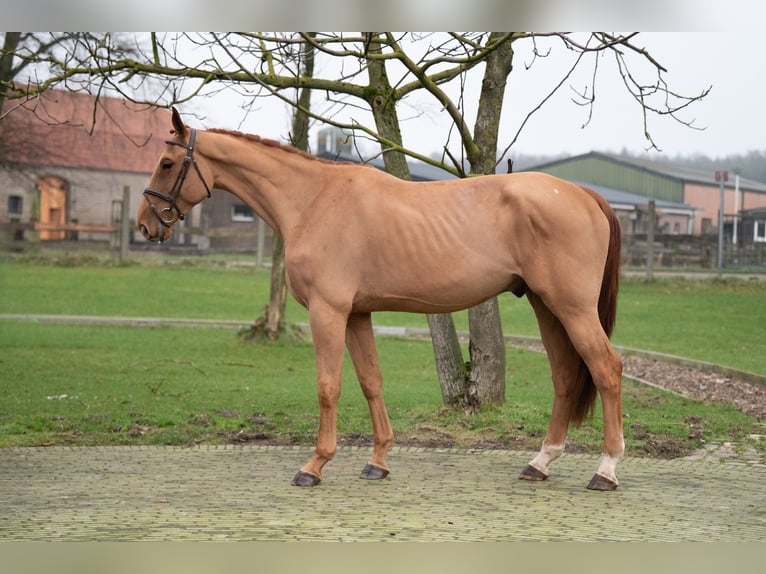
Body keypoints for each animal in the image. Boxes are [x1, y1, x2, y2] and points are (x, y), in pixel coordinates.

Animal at [141, 110, 628, 492]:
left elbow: (328, 386)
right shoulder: (357, 314)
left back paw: (605, 470)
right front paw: (377, 462)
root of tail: (585, 194)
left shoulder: (329, 312)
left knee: (606, 369)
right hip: (547, 307)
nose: (146, 224)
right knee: (565, 375)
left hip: (572, 308)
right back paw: (540, 463)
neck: (314, 200)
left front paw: (314, 465)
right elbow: (370, 382)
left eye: (166, 163)